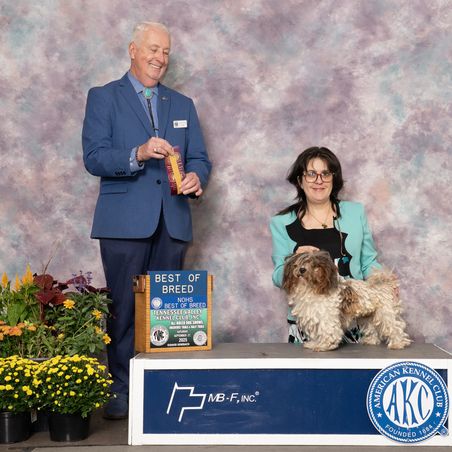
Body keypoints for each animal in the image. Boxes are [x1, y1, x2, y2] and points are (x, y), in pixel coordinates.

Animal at [282, 250, 411, 352]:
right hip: (367, 317)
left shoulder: (327, 317)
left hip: (386, 313)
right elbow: (317, 333)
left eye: (314, 266)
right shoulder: (315, 316)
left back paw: (397, 343)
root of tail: (385, 284)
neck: (311, 288)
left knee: (395, 327)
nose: (302, 270)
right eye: (297, 264)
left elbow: (328, 331)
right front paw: (314, 343)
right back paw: (370, 341)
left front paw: (325, 345)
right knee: (372, 329)